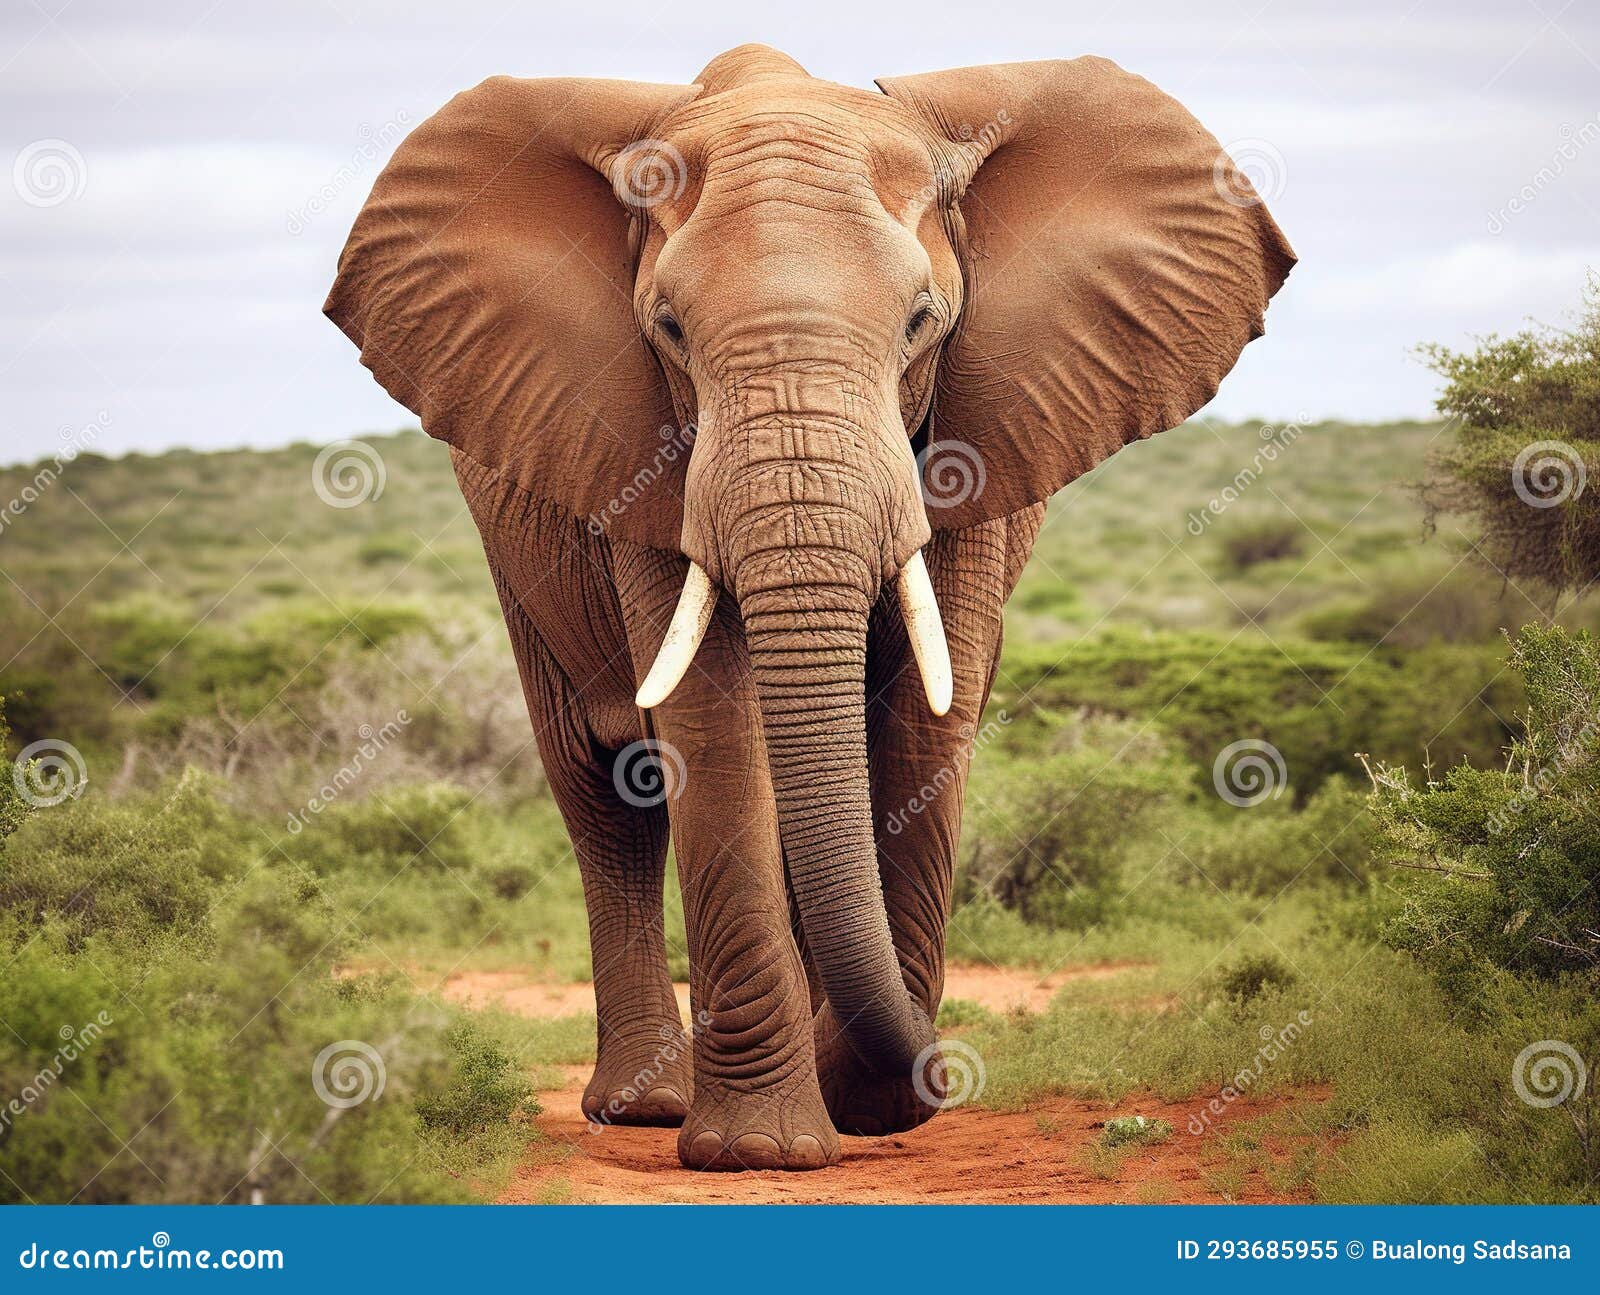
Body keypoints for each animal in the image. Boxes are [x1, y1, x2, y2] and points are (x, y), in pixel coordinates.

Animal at [326, 43, 1293, 1171]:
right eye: (668, 328)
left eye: (922, 322)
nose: (936, 1067)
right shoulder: (639, 450)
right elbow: (712, 726)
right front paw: (762, 1147)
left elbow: (924, 721)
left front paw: (859, 1102)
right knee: (602, 784)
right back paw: (646, 1105)